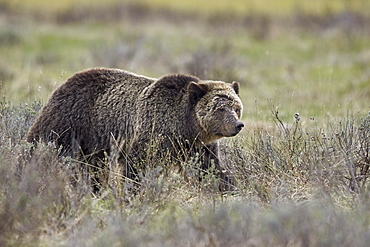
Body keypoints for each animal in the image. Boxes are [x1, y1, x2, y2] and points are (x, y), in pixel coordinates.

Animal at [27, 67, 244, 189]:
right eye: (221, 108)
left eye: (236, 108)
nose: (238, 125)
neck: (185, 126)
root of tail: (66, 81)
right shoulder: (153, 133)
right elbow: (137, 166)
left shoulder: (196, 146)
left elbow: (210, 168)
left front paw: (229, 188)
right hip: (70, 122)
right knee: (43, 146)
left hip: (94, 143)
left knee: (93, 169)